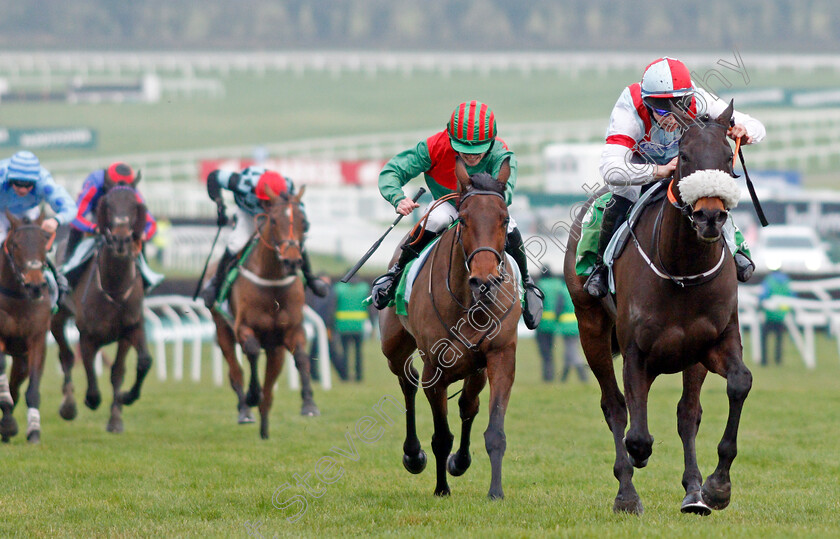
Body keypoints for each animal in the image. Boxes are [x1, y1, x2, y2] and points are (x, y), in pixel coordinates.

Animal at [50, 185, 153, 434]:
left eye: (134, 207)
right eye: (108, 206)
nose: (121, 239)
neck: (114, 289)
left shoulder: (131, 329)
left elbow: (134, 365)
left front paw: (120, 408)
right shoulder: (88, 335)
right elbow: (89, 369)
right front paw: (90, 400)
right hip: (57, 317)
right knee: (66, 356)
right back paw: (68, 405)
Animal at [209, 185, 318, 438]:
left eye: (304, 222)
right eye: (275, 220)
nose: (292, 262)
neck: (272, 282)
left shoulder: (292, 330)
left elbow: (301, 357)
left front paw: (308, 404)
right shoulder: (243, 327)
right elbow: (250, 351)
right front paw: (251, 395)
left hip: (275, 350)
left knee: (269, 389)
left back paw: (264, 429)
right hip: (222, 329)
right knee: (236, 372)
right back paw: (245, 411)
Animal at [378, 158, 520, 500]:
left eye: (504, 219)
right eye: (465, 221)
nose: (485, 280)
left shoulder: (500, 357)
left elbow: (494, 430)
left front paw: (495, 491)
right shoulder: (435, 369)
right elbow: (441, 436)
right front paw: (441, 488)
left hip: (475, 367)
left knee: (468, 404)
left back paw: (460, 461)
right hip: (394, 348)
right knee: (408, 382)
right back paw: (413, 454)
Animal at [564, 102, 756, 520]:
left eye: (727, 158)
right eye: (684, 157)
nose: (710, 217)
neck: (681, 270)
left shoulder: (714, 340)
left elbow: (737, 384)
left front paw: (716, 487)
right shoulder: (636, 350)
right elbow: (635, 432)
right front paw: (636, 466)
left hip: (689, 356)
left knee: (688, 413)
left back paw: (694, 492)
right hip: (591, 329)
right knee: (615, 407)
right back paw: (626, 492)